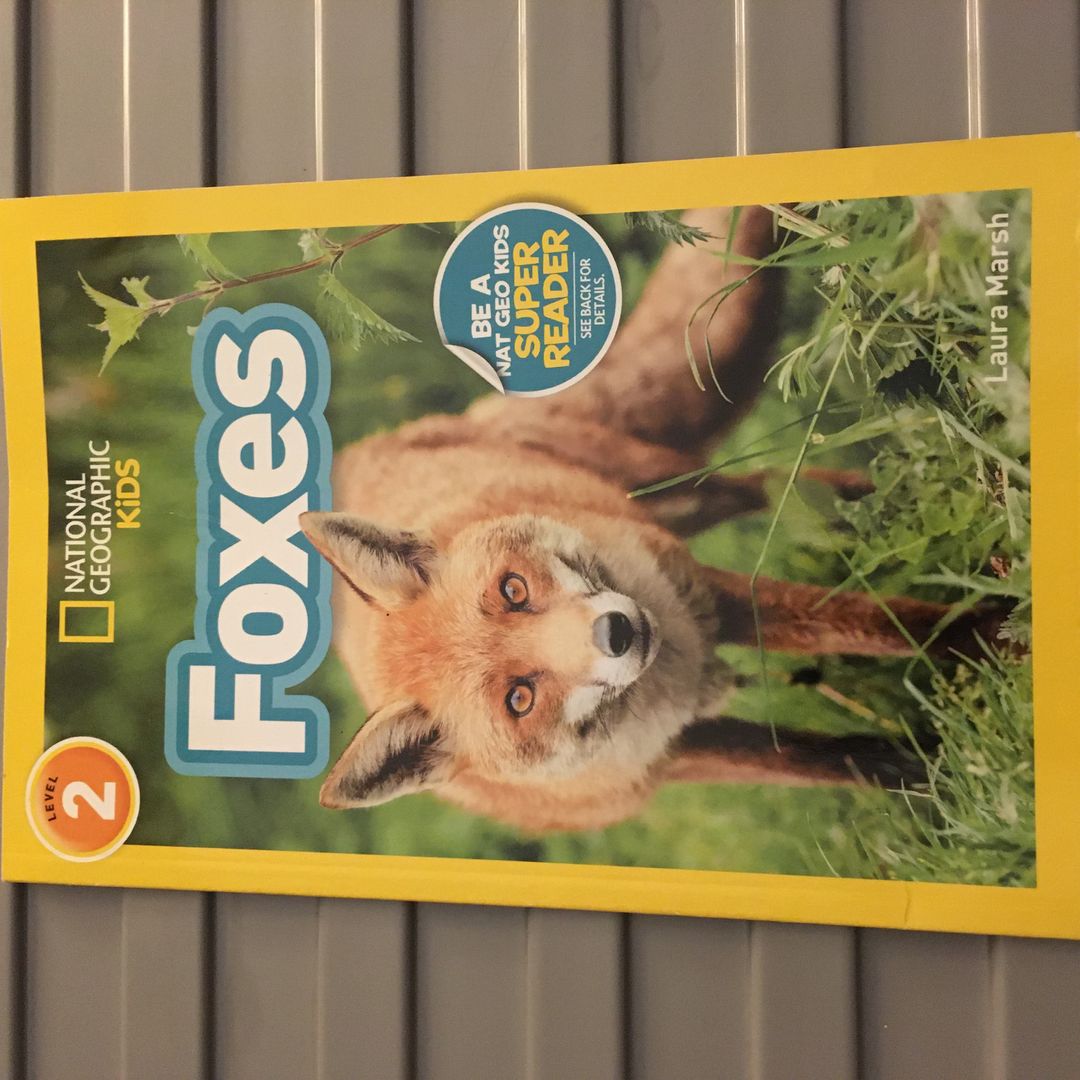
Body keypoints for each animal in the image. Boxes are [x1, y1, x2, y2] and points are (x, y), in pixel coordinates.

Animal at [300, 204, 1005, 832]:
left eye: (513, 589)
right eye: (519, 699)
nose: (616, 632)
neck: (676, 670)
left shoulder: (705, 589)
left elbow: (876, 626)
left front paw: (989, 636)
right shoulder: (676, 759)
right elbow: (833, 762)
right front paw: (933, 770)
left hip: (677, 489)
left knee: (772, 485)